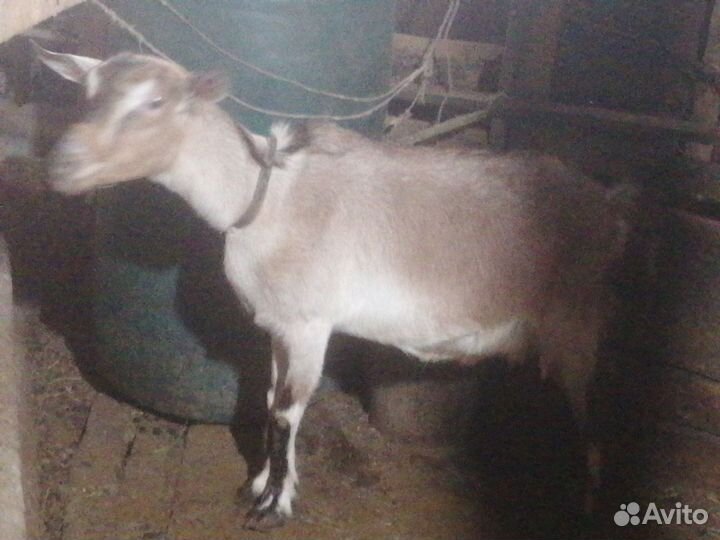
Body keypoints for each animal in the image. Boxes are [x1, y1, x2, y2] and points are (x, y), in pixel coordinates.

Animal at [35, 44, 628, 529]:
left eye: (155, 102)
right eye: (86, 93)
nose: (61, 164)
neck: (263, 198)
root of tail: (607, 208)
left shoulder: (308, 323)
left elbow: (285, 411)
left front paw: (271, 507)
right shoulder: (278, 325)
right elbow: (270, 398)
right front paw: (263, 483)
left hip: (577, 322)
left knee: (594, 420)